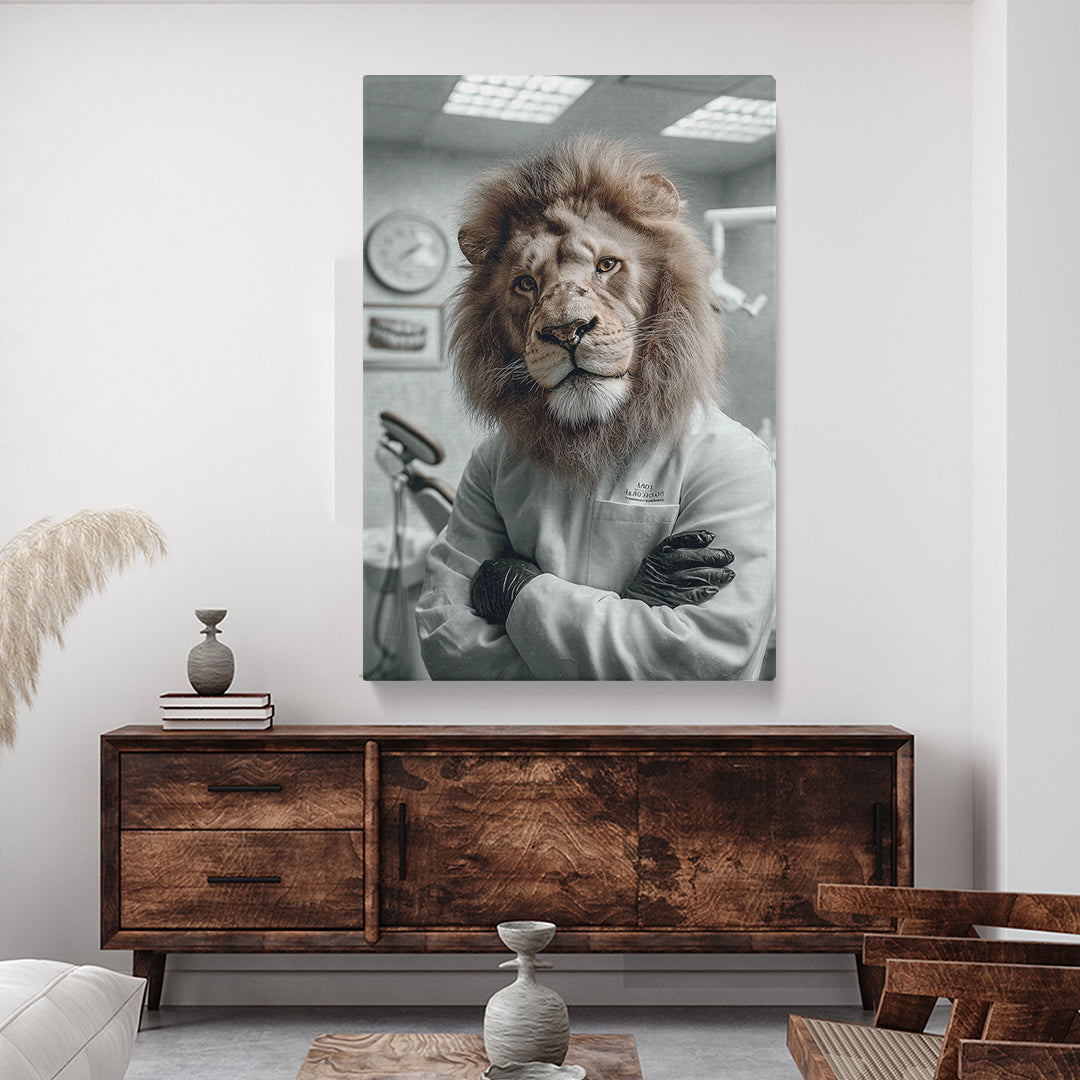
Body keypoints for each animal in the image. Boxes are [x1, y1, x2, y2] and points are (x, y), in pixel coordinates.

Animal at [415, 136, 776, 681]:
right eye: (525, 283)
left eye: (607, 265)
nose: (566, 331)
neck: (593, 433)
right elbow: (451, 594)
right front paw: (504, 577)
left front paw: (659, 582)